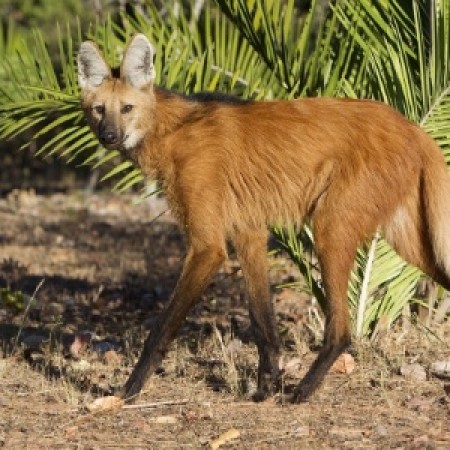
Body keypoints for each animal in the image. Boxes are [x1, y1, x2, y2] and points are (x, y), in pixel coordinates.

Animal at [77, 33, 450, 402]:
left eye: (127, 109)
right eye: (99, 110)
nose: (108, 136)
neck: (171, 132)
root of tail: (413, 128)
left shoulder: (207, 247)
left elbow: (163, 327)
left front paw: (128, 391)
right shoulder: (248, 231)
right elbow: (262, 320)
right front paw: (264, 387)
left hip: (331, 228)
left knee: (341, 331)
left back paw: (302, 391)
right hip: (410, 239)